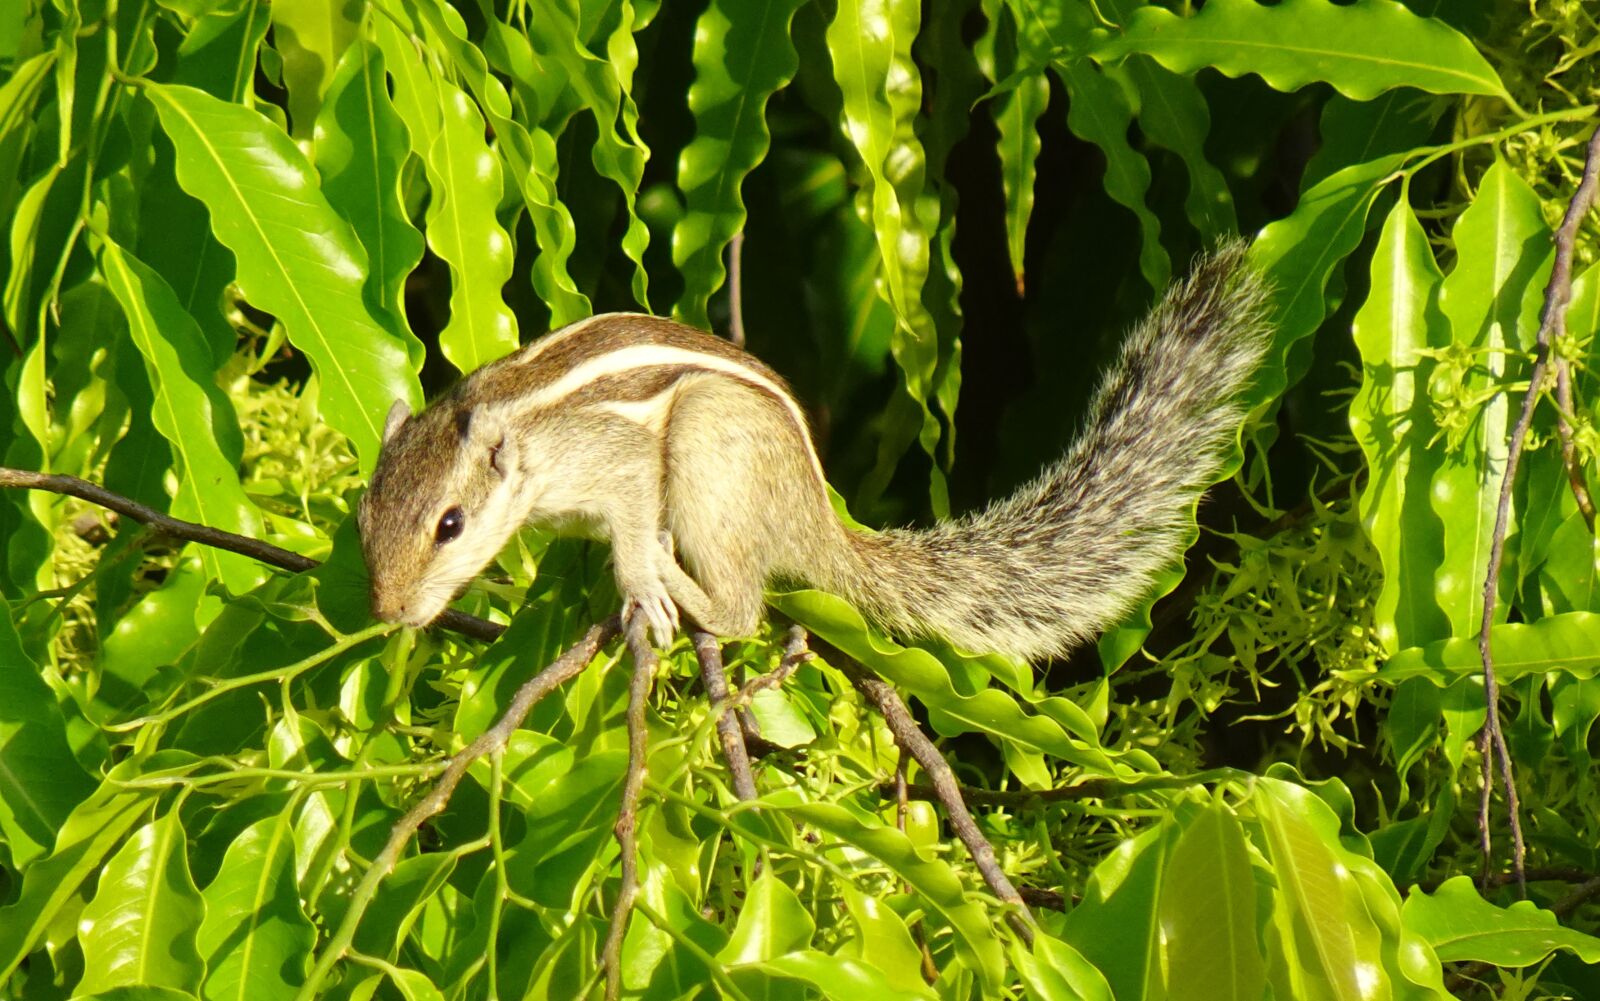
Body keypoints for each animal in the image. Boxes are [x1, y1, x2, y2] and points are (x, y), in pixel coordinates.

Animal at [359, 242, 1272, 661]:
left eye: (450, 524)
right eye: (364, 516)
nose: (388, 612)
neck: (513, 420)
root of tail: (816, 519)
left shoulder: (612, 455)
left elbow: (632, 510)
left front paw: (640, 580)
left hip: (709, 447)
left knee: (740, 608)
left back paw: (680, 583)